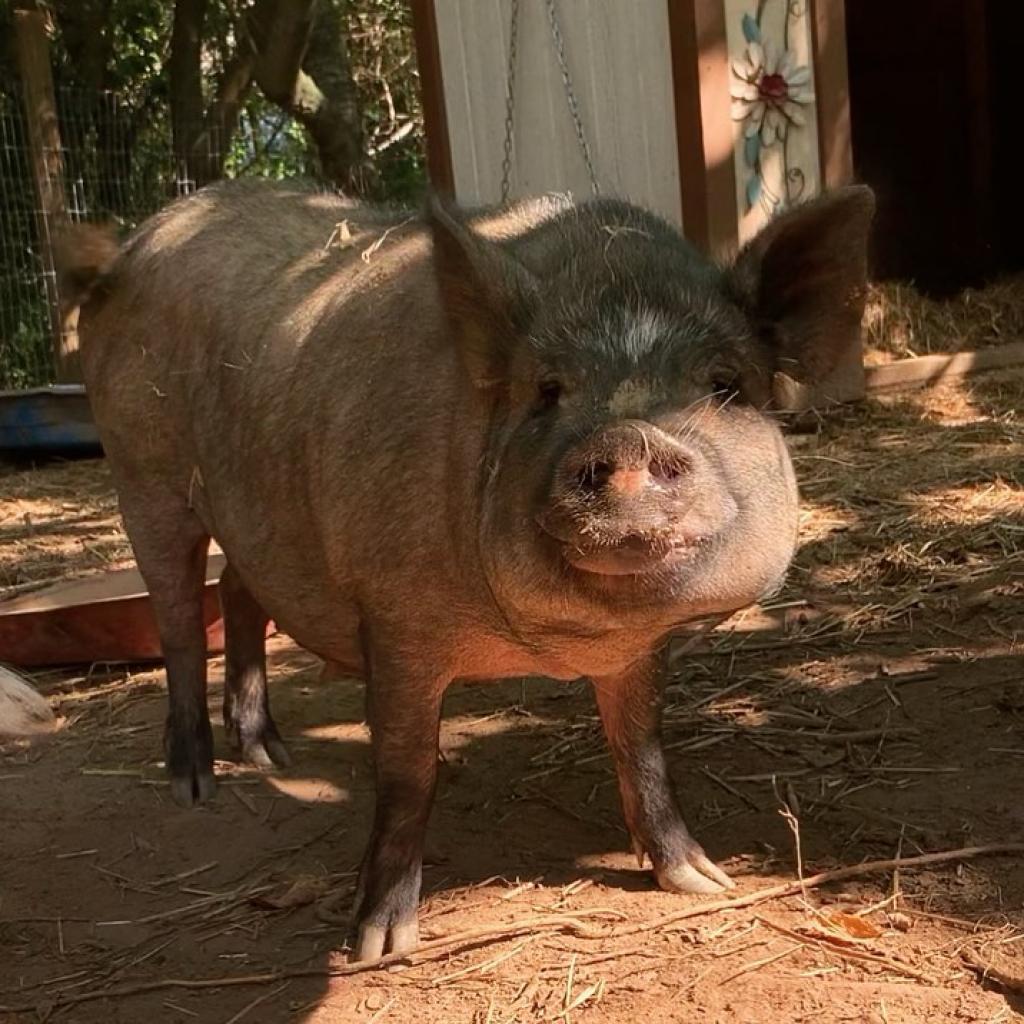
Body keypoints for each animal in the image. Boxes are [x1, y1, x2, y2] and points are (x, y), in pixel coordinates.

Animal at [59, 179, 873, 960]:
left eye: (725, 384)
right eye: (546, 389)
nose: (630, 437)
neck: (551, 644)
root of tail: (135, 242)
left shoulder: (638, 652)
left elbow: (641, 748)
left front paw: (703, 880)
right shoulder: (393, 617)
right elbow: (406, 774)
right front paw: (378, 947)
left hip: (252, 515)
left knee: (237, 588)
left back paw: (267, 754)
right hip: (144, 475)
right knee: (177, 620)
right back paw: (194, 786)